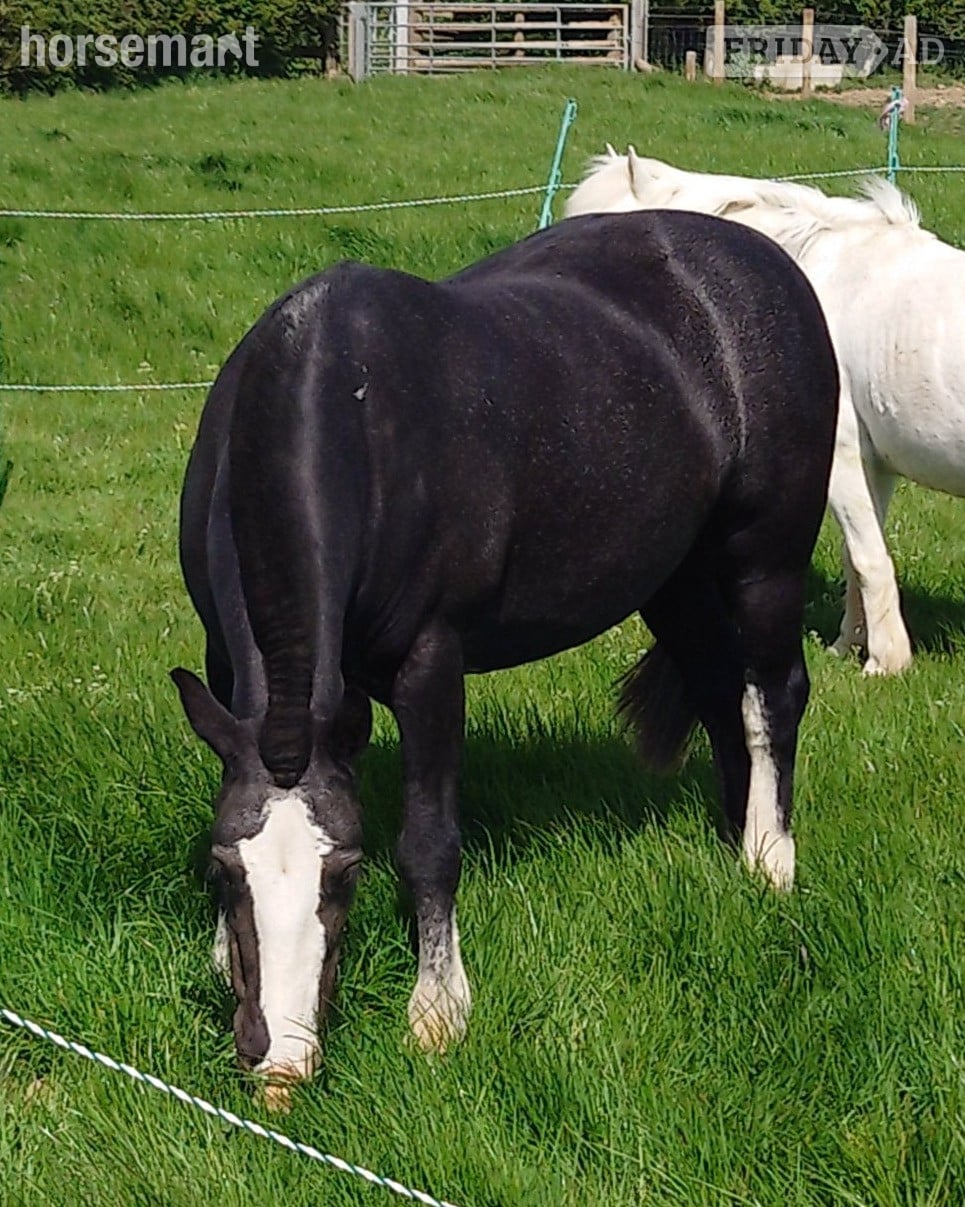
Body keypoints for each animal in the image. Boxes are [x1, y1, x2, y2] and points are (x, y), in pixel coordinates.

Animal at [173, 209, 837, 1104]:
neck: (349, 408)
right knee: (716, 691)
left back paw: (771, 861)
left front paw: (437, 1012)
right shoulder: (223, 662)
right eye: (226, 869)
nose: (278, 1064)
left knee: (771, 695)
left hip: (765, 561)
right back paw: (736, 836)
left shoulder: (429, 664)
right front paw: (219, 953)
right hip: (673, 579)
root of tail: (766, 261)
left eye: (344, 871)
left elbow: (428, 840)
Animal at [567, 149, 965, 675]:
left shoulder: (841, 459)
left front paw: (884, 663)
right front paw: (847, 647)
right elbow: (859, 555)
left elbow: (868, 560)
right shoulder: (873, 464)